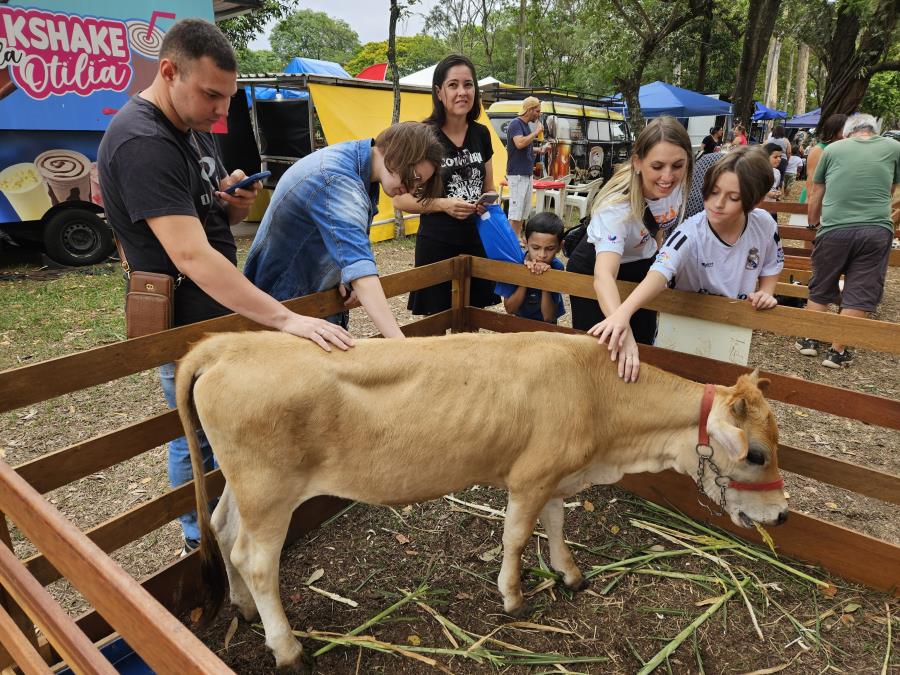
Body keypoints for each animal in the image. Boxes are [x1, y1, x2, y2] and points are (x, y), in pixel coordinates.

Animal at [176, 330, 788, 668]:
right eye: (757, 454)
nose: (781, 514)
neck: (598, 400)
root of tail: (227, 344)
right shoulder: (529, 477)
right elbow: (516, 536)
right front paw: (513, 597)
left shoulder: (554, 474)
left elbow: (557, 524)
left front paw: (569, 573)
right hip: (269, 491)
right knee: (256, 560)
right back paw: (287, 648)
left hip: (242, 486)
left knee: (225, 534)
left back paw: (243, 610)